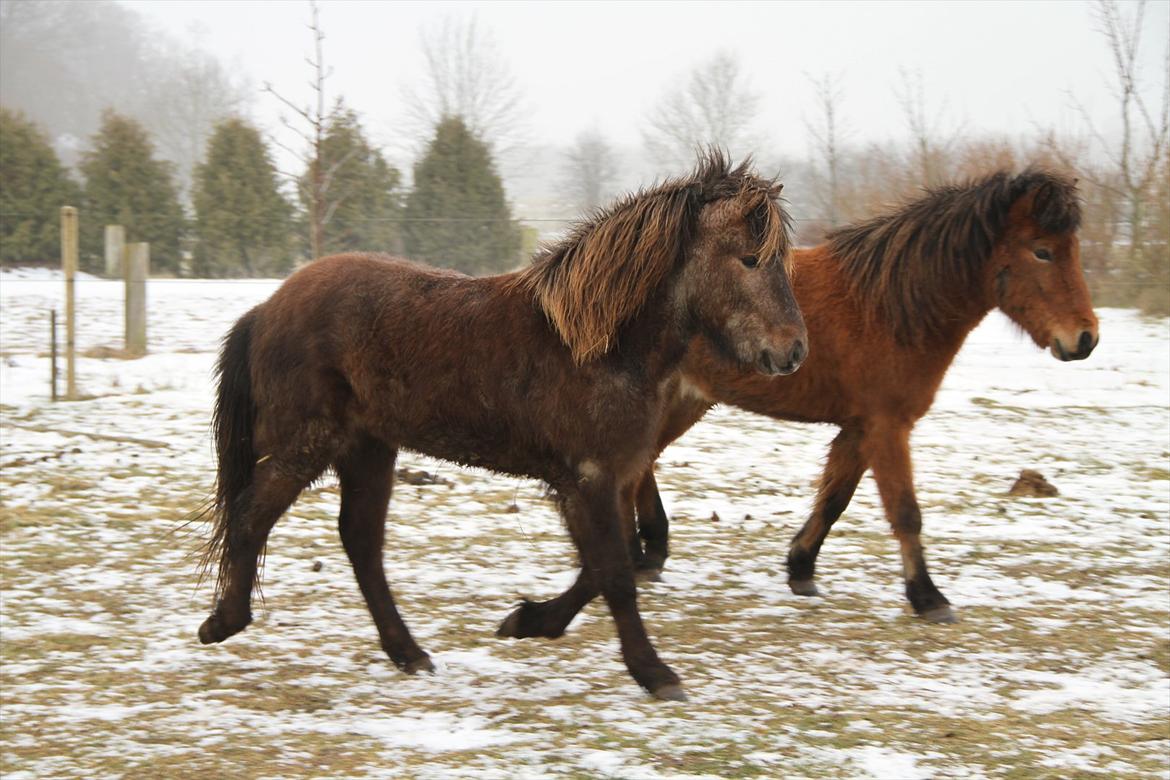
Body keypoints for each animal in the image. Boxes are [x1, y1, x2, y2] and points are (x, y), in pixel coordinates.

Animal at [196, 152, 809, 701]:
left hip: (368, 448)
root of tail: (267, 308)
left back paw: (407, 653)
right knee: (252, 517)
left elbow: (606, 565)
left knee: (360, 542)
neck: (596, 347)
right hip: (307, 445)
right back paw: (223, 622)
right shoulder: (588, 479)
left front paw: (529, 621)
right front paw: (654, 673)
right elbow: (615, 572)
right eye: (749, 259)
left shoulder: (604, 480)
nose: (793, 352)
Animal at [503, 164, 1095, 636]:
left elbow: (834, 500)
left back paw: (649, 551)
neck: (891, 305)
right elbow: (905, 513)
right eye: (1043, 251)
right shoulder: (888, 426)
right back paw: (642, 552)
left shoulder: (861, 427)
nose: (1085, 338)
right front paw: (928, 598)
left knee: (639, 469)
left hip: (683, 401)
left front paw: (801, 568)